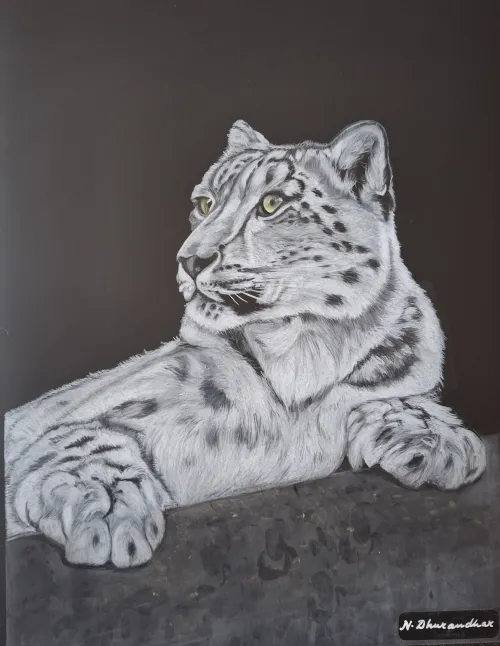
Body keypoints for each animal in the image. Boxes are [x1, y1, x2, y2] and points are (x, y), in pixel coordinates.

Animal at [4, 119, 486, 568]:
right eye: (204, 204)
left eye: (271, 203)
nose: (190, 259)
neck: (300, 354)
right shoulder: (100, 414)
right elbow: (83, 437)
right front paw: (107, 509)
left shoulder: (398, 377)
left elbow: (400, 397)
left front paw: (439, 442)